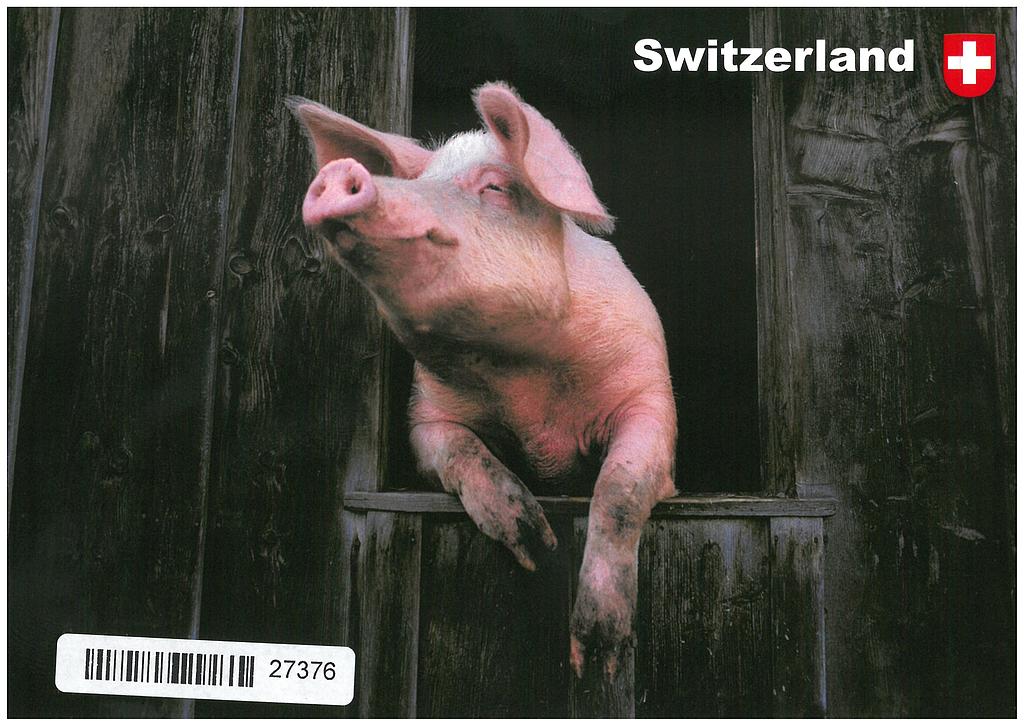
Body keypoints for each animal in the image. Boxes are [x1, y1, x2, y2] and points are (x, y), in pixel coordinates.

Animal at [290, 83, 676, 679]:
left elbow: (622, 486)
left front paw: (596, 659)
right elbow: (459, 452)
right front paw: (536, 546)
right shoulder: (426, 416)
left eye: (494, 187)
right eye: (422, 180)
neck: (524, 378)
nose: (339, 174)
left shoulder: (650, 391)